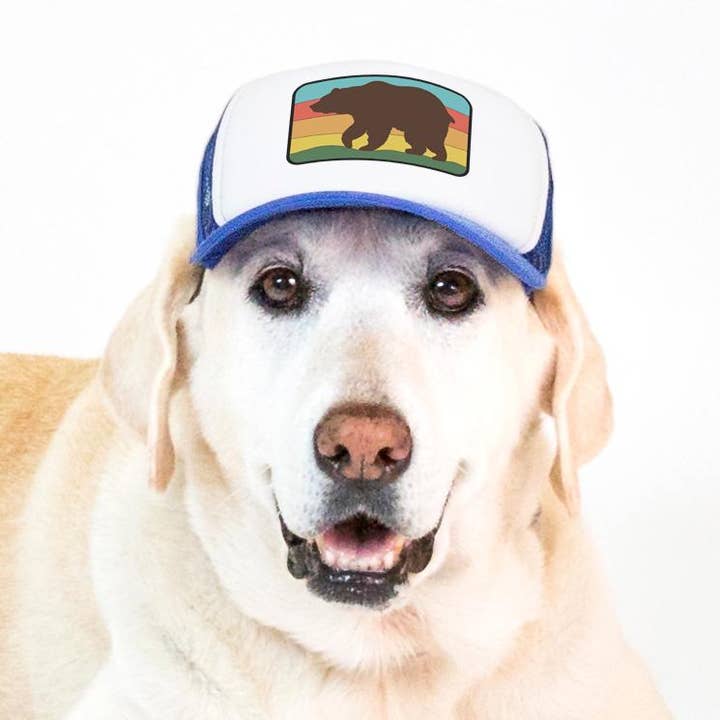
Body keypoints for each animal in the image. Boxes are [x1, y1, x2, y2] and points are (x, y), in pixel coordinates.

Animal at [309, 81, 455, 162]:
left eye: (323, 99)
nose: (312, 106)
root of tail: (447, 114)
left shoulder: (379, 112)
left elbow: (377, 131)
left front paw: (365, 146)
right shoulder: (363, 115)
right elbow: (358, 127)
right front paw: (350, 142)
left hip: (428, 121)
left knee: (433, 140)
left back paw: (438, 157)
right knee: (415, 138)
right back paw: (412, 150)